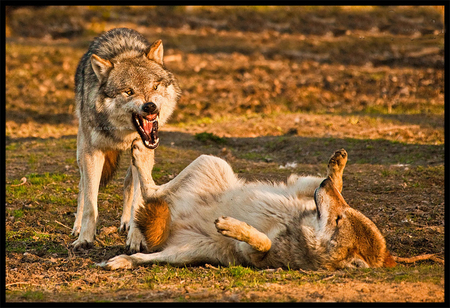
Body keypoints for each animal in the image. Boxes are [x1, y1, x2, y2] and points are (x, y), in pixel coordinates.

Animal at [73, 27, 180, 251]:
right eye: (129, 91)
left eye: (155, 87)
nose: (150, 107)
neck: (123, 133)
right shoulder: (92, 154)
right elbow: (90, 203)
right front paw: (85, 239)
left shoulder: (144, 149)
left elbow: (139, 198)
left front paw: (136, 239)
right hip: (80, 153)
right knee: (81, 186)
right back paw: (77, 227)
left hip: (136, 156)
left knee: (128, 182)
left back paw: (126, 223)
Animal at [102, 142, 394, 270]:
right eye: (342, 214)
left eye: (338, 220)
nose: (322, 186)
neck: (297, 224)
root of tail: (173, 220)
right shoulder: (297, 187)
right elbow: (335, 184)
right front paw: (335, 167)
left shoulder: (253, 257)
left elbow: (263, 242)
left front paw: (232, 226)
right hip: (212, 161)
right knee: (153, 191)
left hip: (185, 253)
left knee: (150, 210)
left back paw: (121, 261)